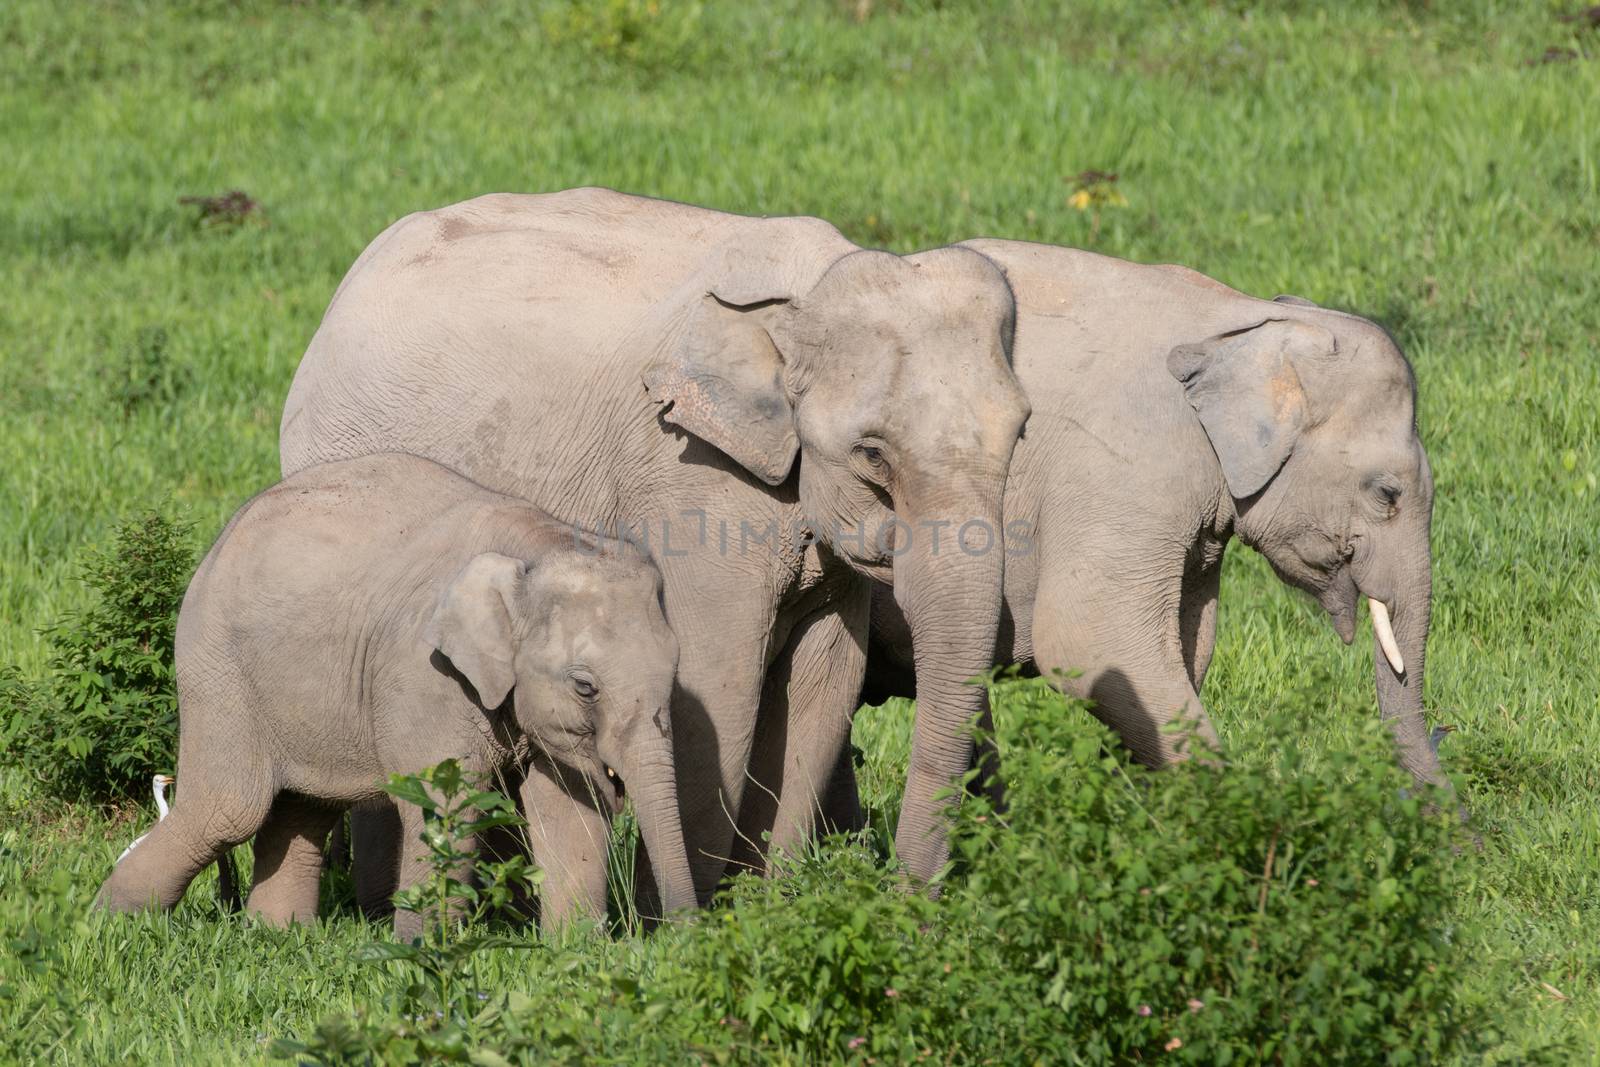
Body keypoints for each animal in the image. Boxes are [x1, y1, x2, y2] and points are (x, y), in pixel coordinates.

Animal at [95, 451, 694, 934]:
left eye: (675, 671)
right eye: (585, 686)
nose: (681, 938)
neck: (538, 544)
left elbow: (568, 812)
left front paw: (576, 949)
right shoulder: (424, 674)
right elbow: (444, 803)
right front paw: (422, 950)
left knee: (302, 808)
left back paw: (276, 935)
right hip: (218, 668)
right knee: (229, 810)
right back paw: (110, 926)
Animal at [276, 187, 1030, 895]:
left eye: (1021, 431)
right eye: (872, 452)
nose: (912, 903)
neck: (808, 288)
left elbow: (822, 691)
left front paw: (764, 906)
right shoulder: (688, 480)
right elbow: (717, 695)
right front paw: (680, 923)